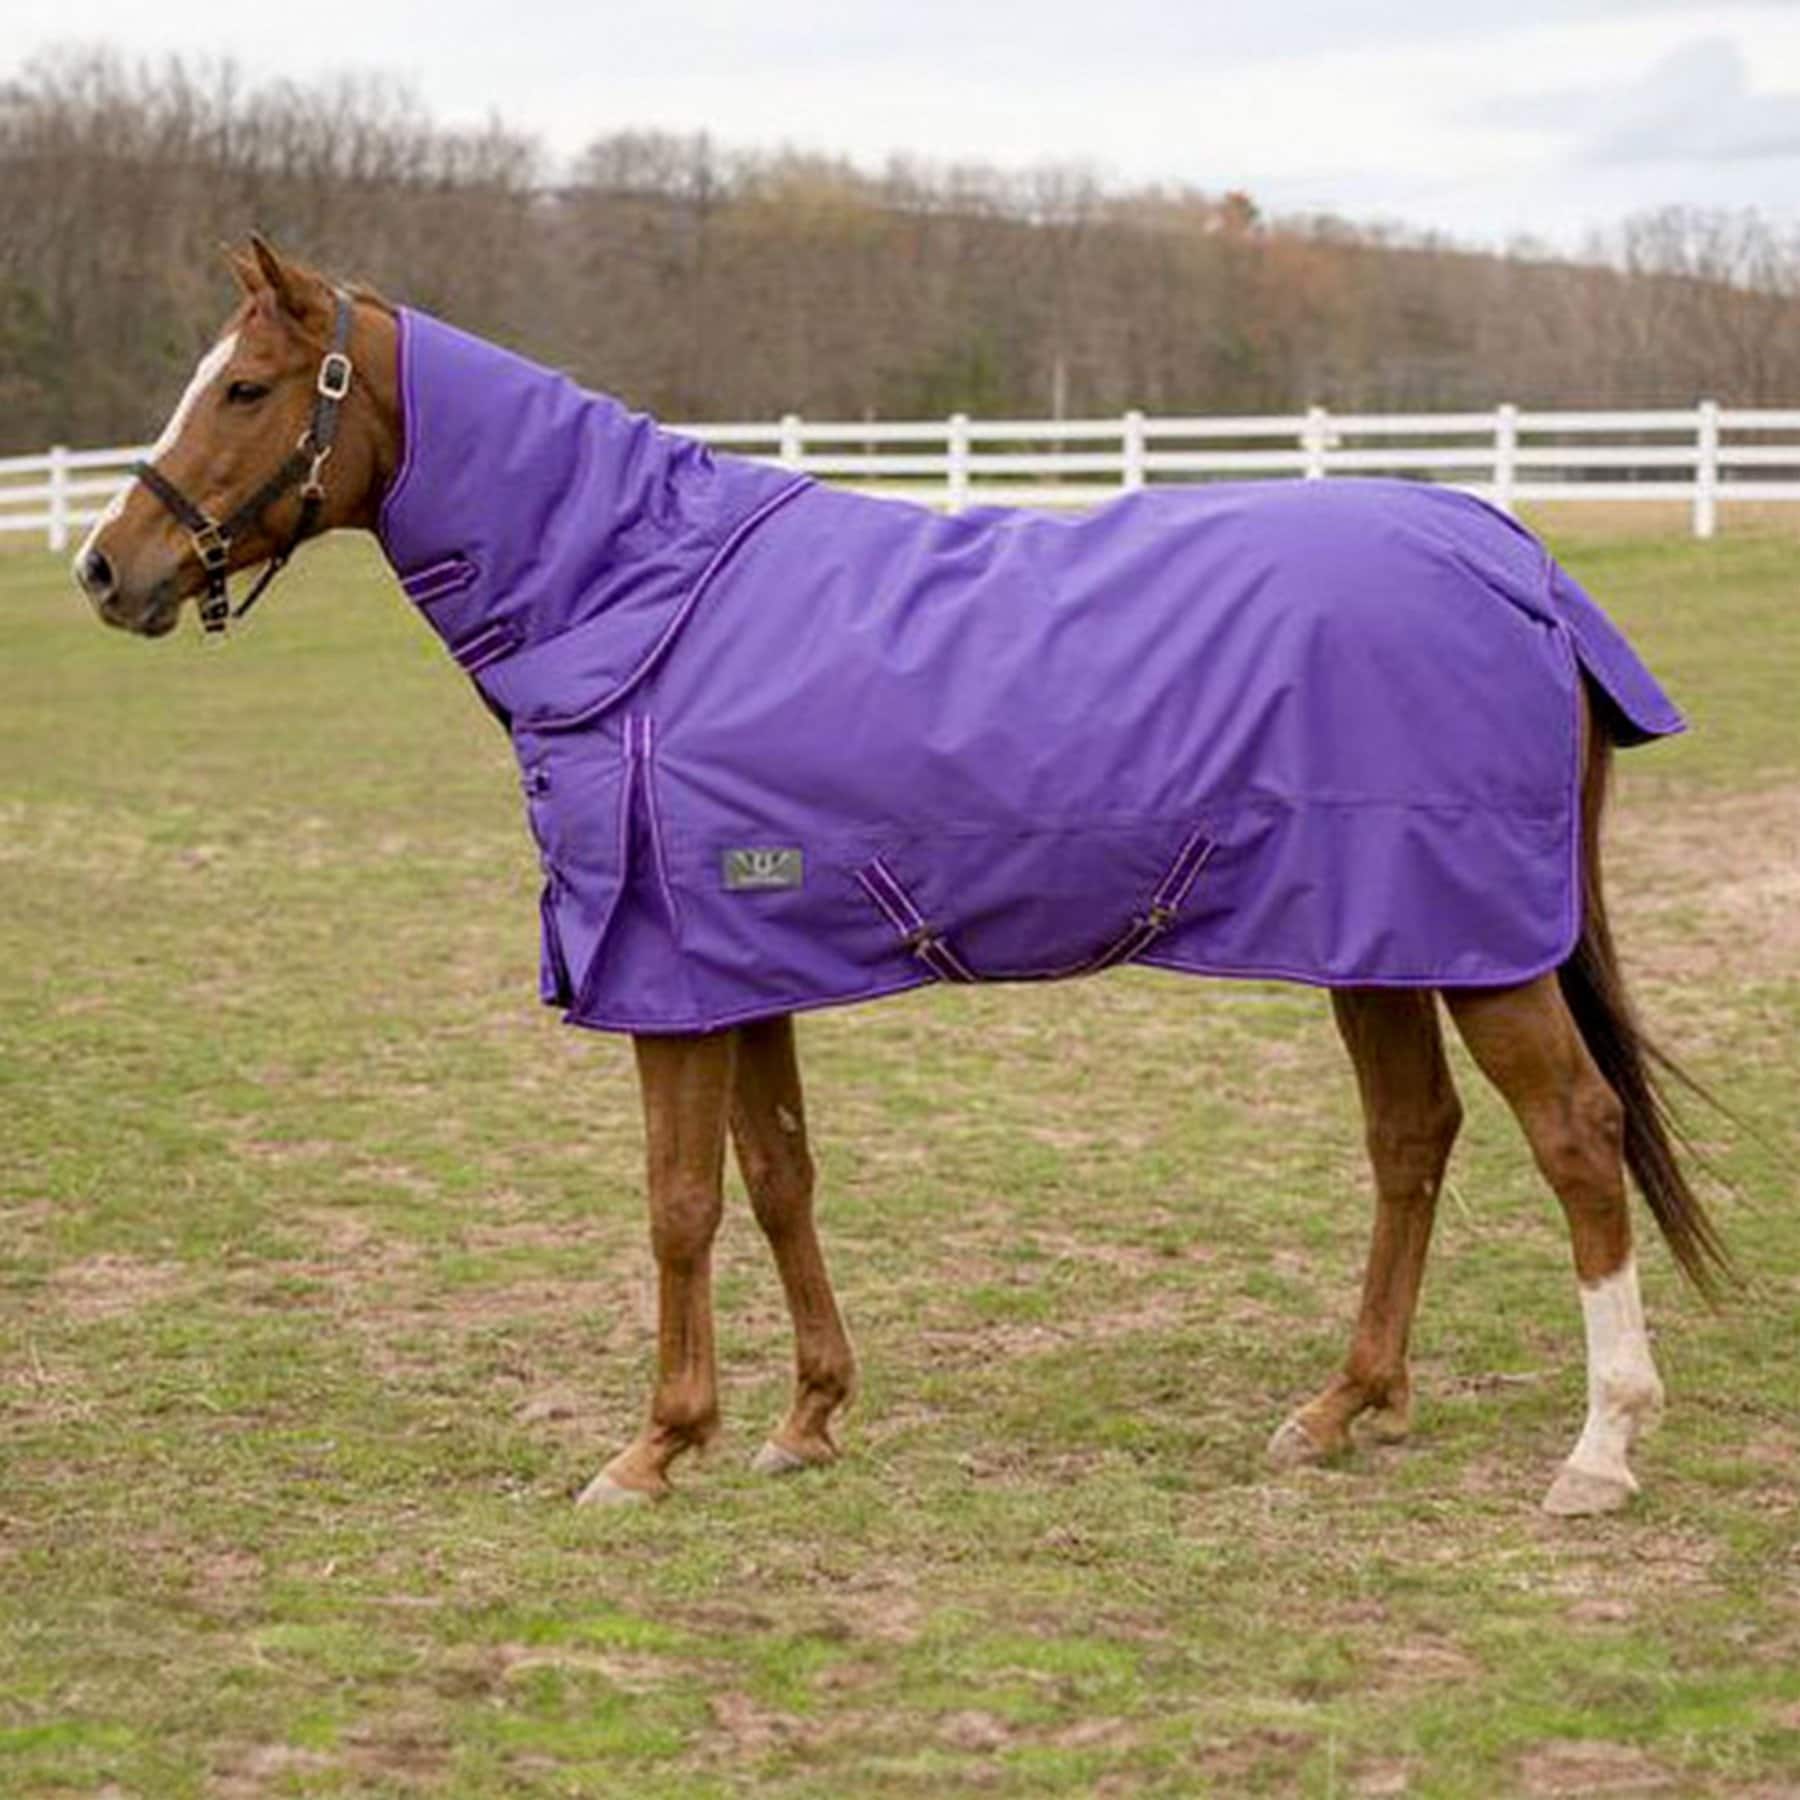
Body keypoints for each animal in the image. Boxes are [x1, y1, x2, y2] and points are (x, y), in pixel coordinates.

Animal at [72, 235, 1730, 1517]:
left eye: (245, 388)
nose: (105, 569)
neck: (638, 602)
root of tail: (1519, 561)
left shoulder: (665, 983)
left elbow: (679, 1203)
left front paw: (653, 1449)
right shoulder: (738, 964)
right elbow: (778, 1178)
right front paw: (804, 1422)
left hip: (1476, 944)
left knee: (1574, 1136)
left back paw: (1598, 1451)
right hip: (1381, 939)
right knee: (1411, 1140)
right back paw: (1345, 1409)